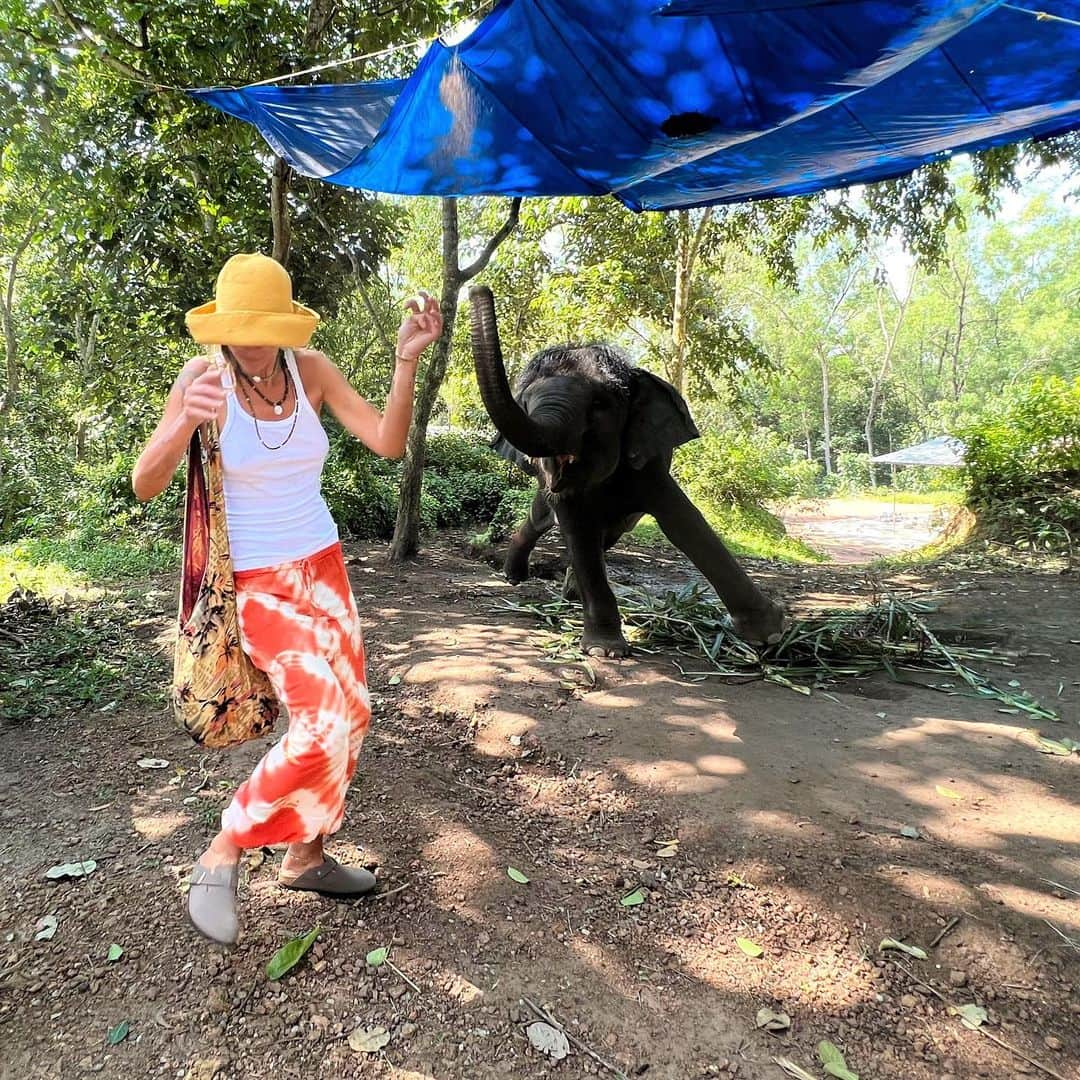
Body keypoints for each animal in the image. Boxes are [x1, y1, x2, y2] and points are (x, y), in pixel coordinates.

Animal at [468, 285, 781, 656]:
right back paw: (515, 578)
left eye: (600, 405)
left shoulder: (649, 461)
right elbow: (578, 530)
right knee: (541, 519)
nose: (477, 289)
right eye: (526, 404)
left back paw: (568, 593)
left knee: (606, 533)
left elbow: (682, 520)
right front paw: (604, 650)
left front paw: (771, 635)